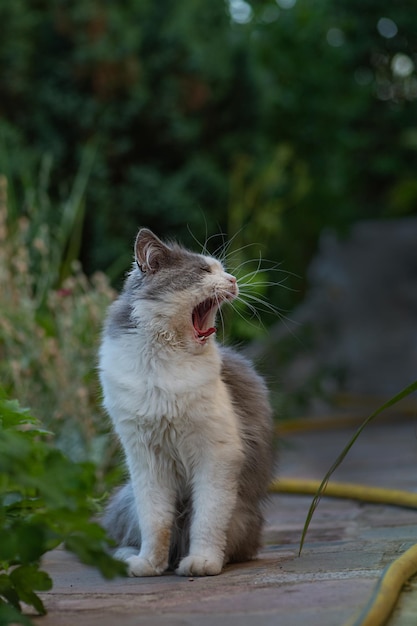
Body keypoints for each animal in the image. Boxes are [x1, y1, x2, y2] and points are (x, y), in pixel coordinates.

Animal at [97, 227, 272, 572]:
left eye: (222, 270)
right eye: (204, 271)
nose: (233, 280)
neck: (164, 362)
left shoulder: (216, 455)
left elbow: (207, 519)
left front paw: (202, 562)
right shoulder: (145, 459)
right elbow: (155, 522)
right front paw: (149, 564)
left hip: (243, 515)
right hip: (127, 497)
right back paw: (128, 558)